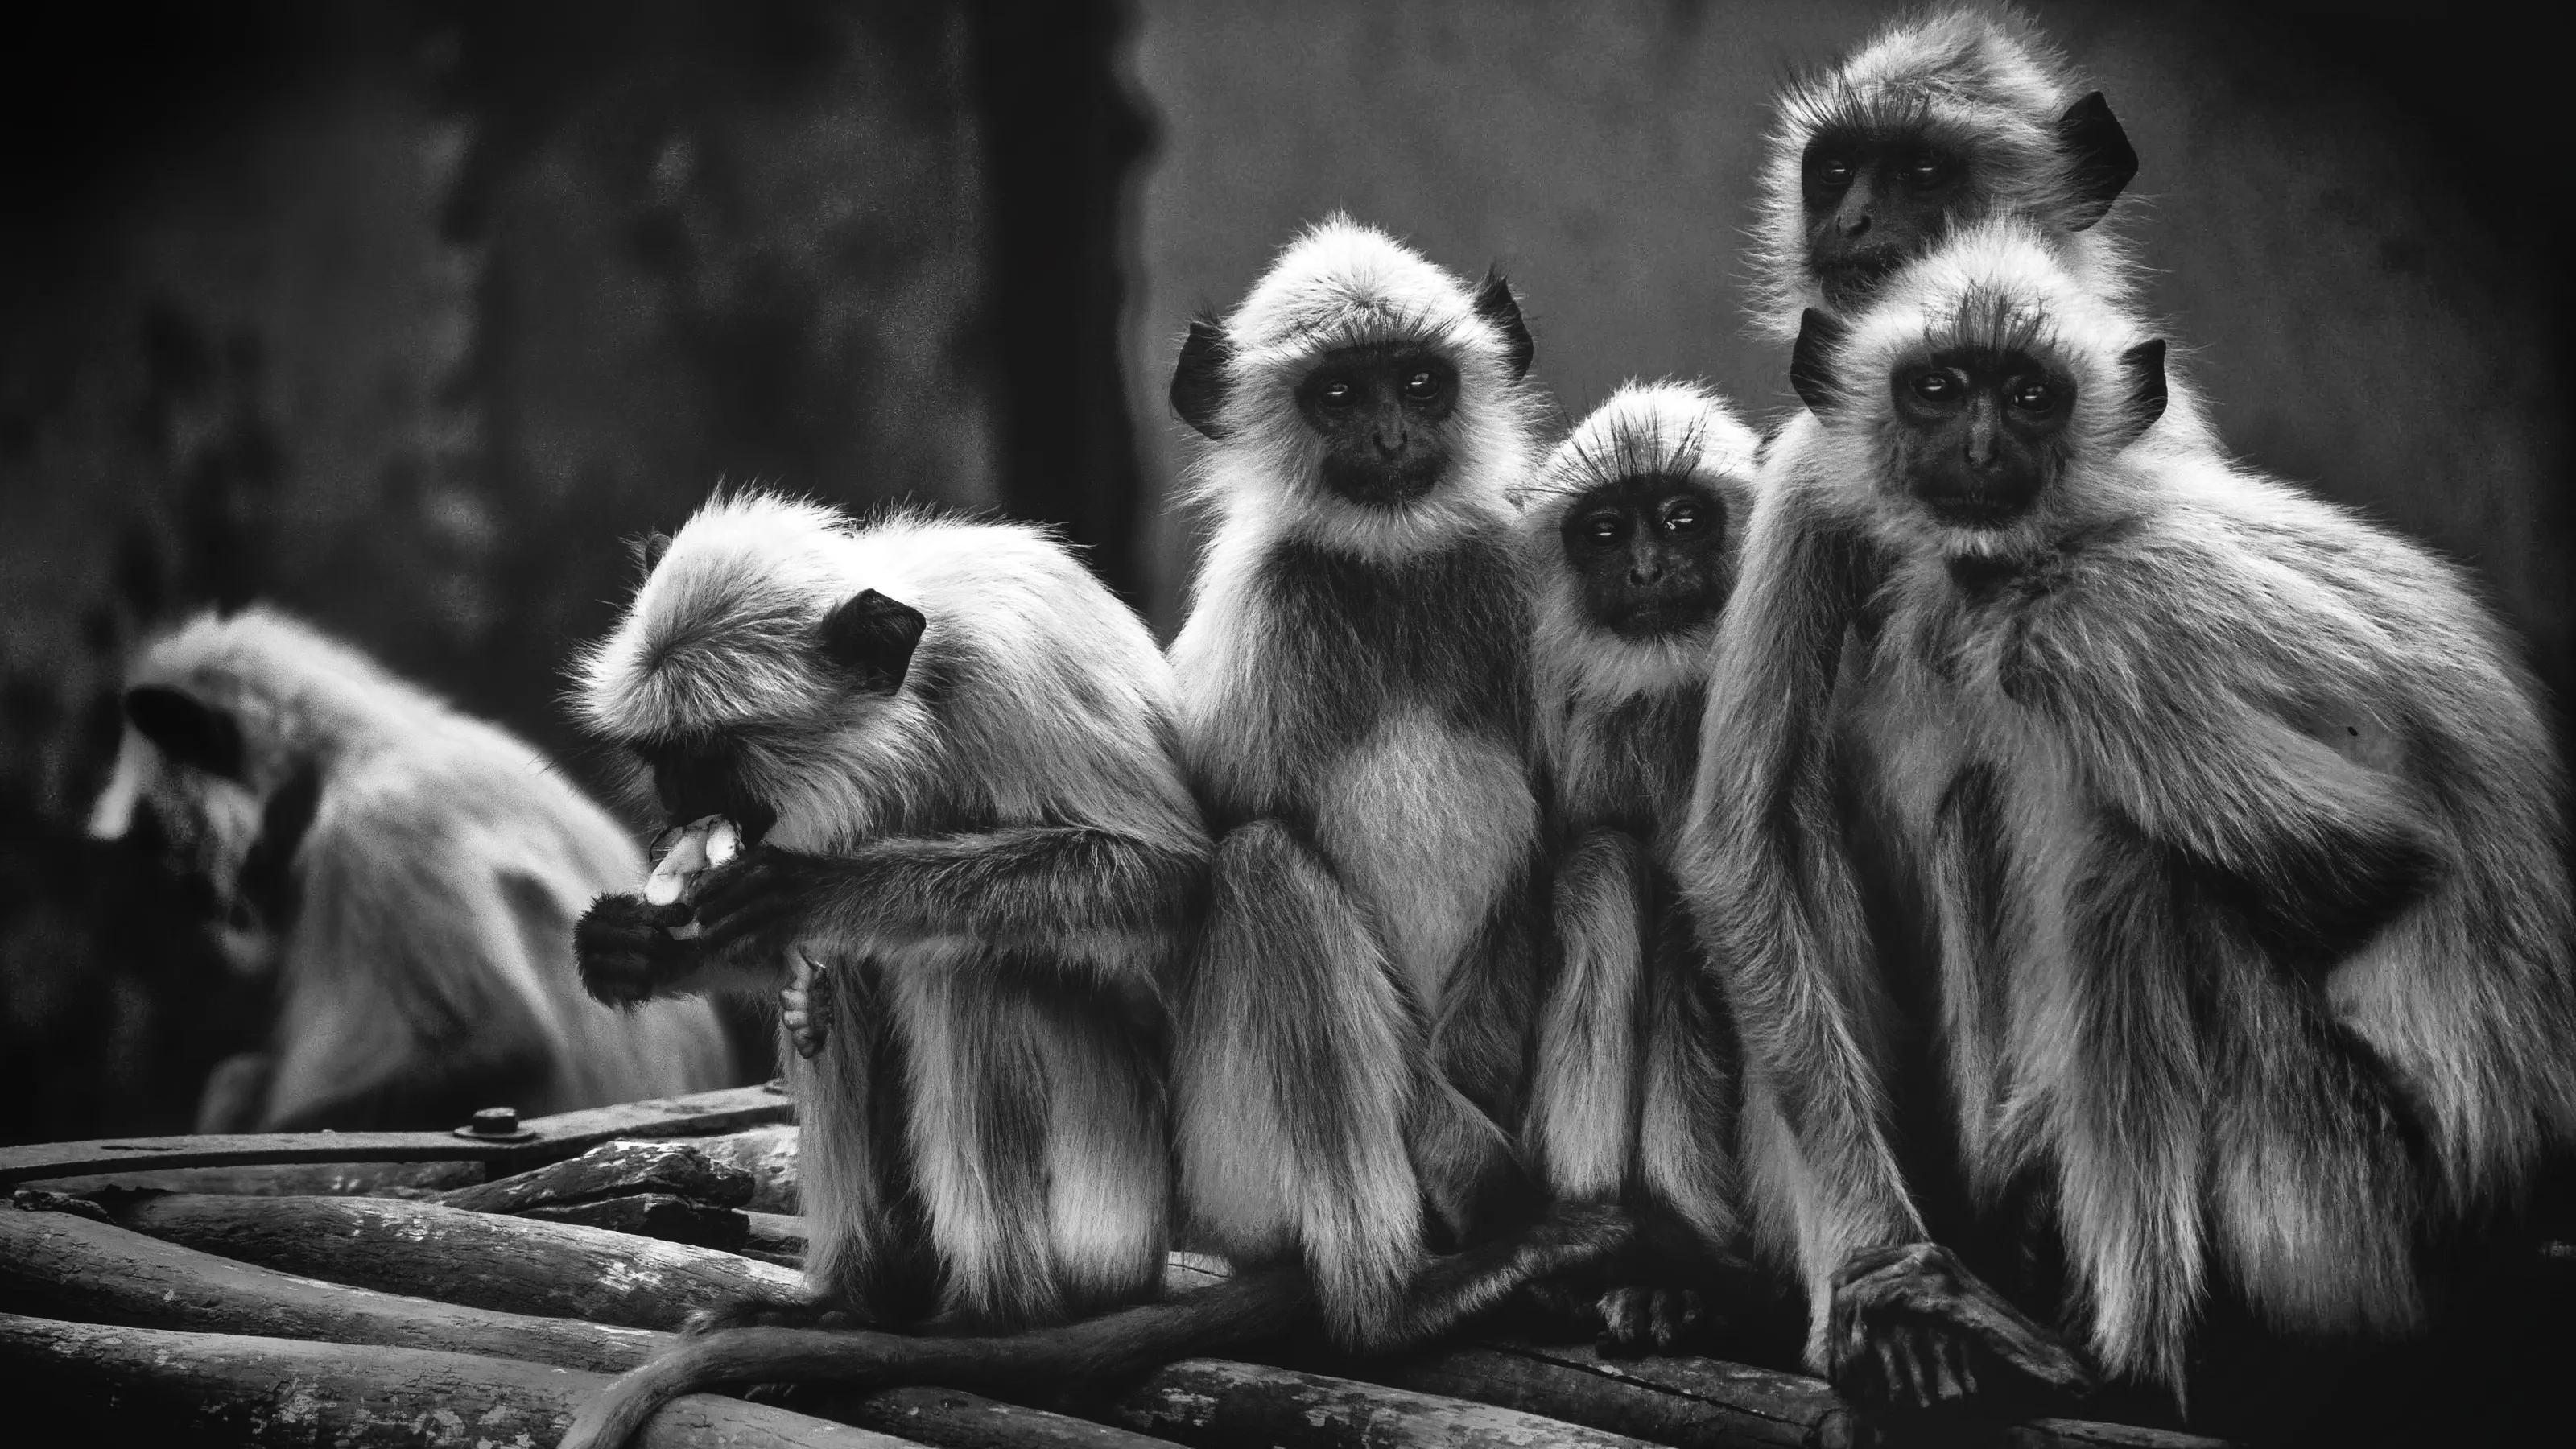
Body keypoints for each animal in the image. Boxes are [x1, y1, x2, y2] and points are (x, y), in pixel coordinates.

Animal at [567, 492, 1204, 1340]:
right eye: (658, 756)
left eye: (709, 755)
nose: (675, 804)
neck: (919, 709)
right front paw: (629, 947)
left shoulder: (1018, 674)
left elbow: (1169, 880)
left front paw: (814, 889)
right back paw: (856, 1296)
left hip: (1118, 1199)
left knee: (961, 960)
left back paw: (993, 1311)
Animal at [1677, 218, 2576, 1420]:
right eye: (1936, 387)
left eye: (2030, 397)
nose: (1977, 450)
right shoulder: (1813, 482)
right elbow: (1750, 840)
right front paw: (1883, 1267)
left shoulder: (2094, 606)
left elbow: (2366, 867)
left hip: (2361, 1188)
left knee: (2129, 875)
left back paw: (2120, 1365)